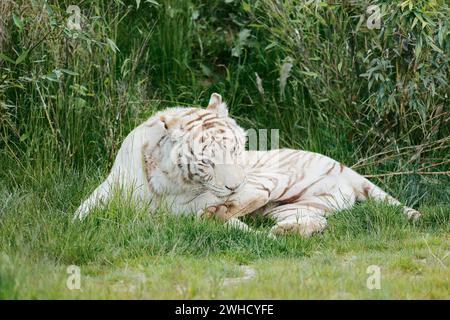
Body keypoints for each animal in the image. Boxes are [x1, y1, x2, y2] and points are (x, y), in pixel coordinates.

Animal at [75, 93, 420, 238]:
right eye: (206, 161)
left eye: (235, 150)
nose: (233, 185)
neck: (164, 183)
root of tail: (344, 167)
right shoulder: (102, 195)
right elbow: (80, 217)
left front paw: (217, 218)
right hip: (296, 206)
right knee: (317, 221)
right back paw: (286, 231)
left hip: (273, 179)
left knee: (257, 195)